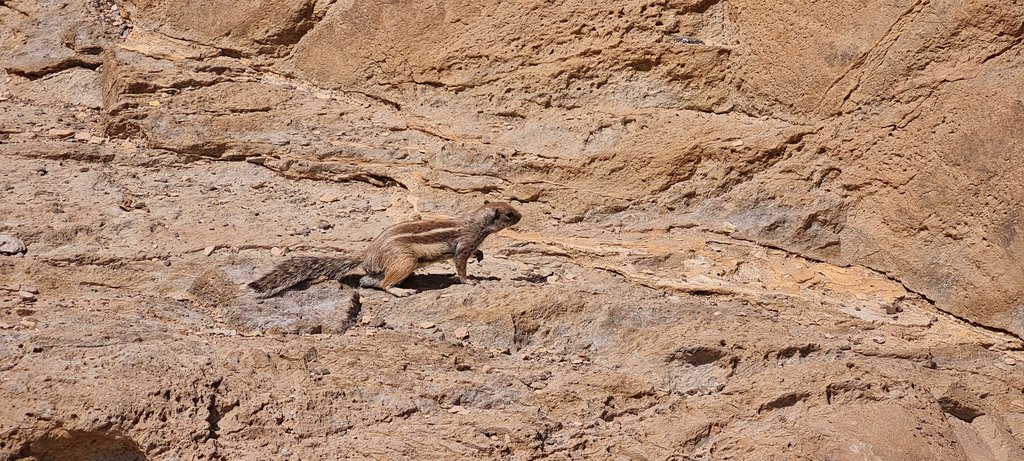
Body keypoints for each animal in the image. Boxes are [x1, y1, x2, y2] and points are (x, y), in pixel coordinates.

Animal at [246, 200, 520, 295]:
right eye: (509, 214)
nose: (521, 216)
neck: (476, 222)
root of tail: (367, 254)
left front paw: (481, 256)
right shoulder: (464, 243)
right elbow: (460, 264)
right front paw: (469, 280)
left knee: (367, 281)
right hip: (405, 261)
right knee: (384, 284)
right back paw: (401, 291)